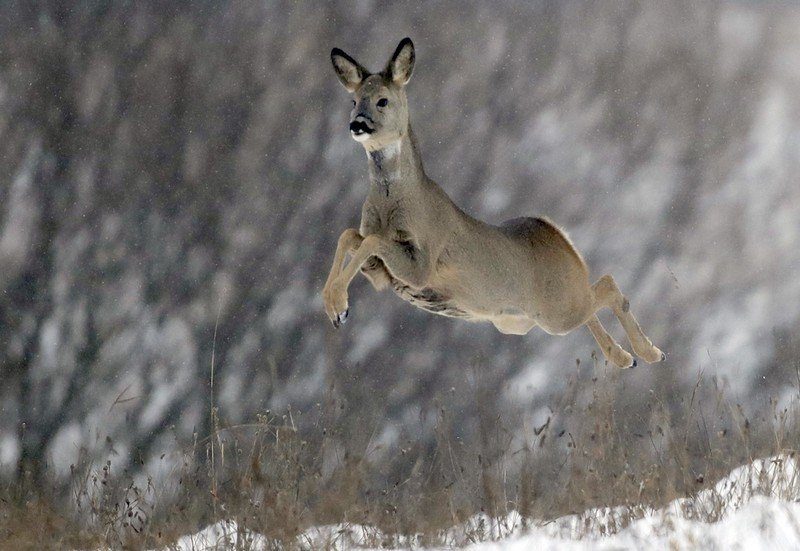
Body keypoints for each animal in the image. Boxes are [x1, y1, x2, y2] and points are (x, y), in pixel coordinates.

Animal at [318, 36, 664, 368]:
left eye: (382, 100)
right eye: (353, 100)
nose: (357, 124)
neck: (394, 201)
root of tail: (558, 234)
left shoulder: (423, 263)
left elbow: (371, 240)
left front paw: (338, 305)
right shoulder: (382, 274)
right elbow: (350, 236)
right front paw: (334, 306)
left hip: (557, 308)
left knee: (607, 286)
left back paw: (649, 353)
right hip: (523, 320)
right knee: (594, 302)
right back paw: (624, 358)